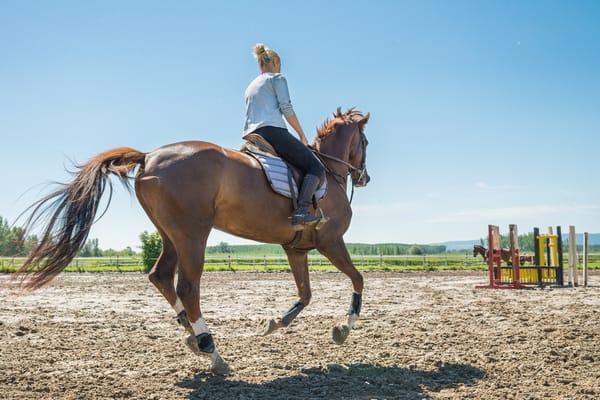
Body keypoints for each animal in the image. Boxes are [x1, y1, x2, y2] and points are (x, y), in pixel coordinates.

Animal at [15, 107, 370, 376]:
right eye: (365, 141)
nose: (364, 177)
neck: (328, 173)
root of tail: (148, 156)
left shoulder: (295, 249)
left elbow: (305, 295)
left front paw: (273, 324)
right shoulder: (331, 241)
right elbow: (358, 280)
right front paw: (344, 328)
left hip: (171, 235)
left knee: (160, 276)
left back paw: (193, 335)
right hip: (193, 234)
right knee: (187, 287)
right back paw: (212, 351)